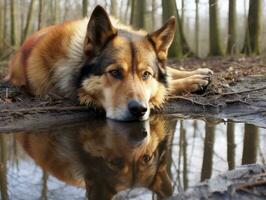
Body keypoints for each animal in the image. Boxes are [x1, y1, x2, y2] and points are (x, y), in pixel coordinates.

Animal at [5, 5, 213, 120]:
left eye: (146, 74)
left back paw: (202, 72)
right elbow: (166, 86)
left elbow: (165, 78)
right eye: (115, 72)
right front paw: (192, 82)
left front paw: (195, 76)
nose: (139, 109)